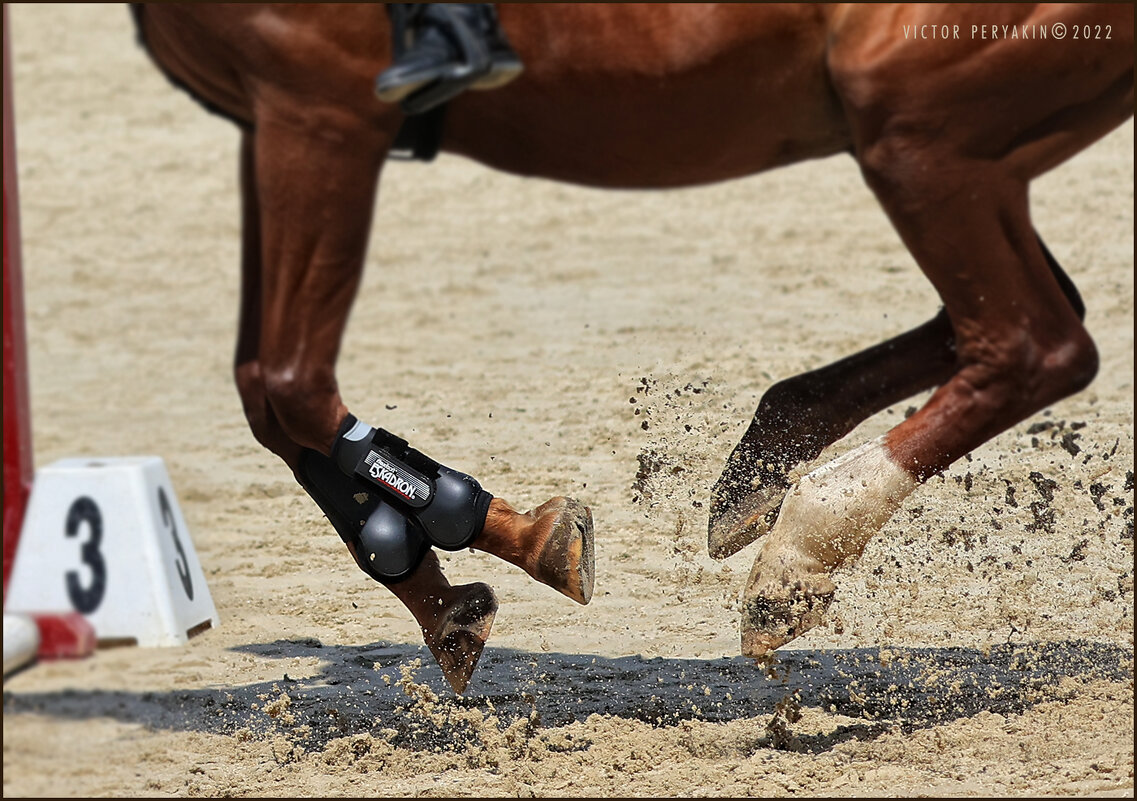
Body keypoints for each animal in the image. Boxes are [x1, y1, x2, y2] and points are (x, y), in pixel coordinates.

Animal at [130, 3, 1127, 691]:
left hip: (915, 128)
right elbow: (272, 400)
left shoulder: (317, 113)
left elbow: (292, 389)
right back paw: (762, 469)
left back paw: (796, 554)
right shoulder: (268, 122)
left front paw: (510, 542)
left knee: (1032, 343)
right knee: (1004, 325)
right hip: (962, 142)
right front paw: (449, 605)